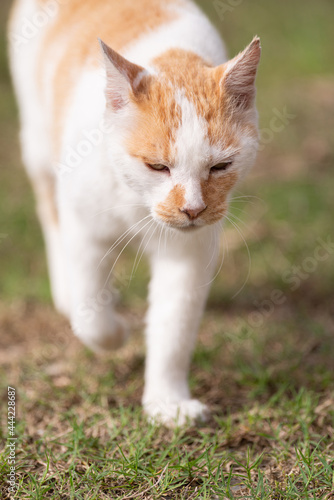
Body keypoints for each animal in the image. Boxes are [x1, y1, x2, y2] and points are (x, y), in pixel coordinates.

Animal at [8, 0, 260, 426]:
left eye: (221, 166)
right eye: (157, 167)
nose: (193, 208)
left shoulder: (188, 253)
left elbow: (173, 328)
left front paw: (167, 402)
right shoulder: (85, 233)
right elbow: (92, 316)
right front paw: (113, 333)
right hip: (39, 145)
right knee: (49, 214)